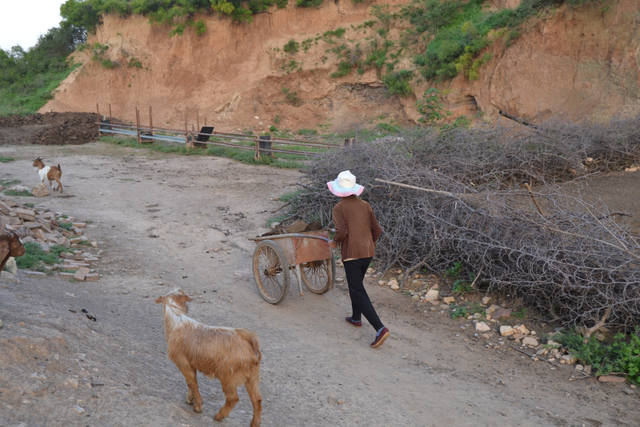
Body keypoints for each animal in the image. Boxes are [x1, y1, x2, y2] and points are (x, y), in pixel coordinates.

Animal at [155, 290, 262, 426]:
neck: (177, 321)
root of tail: (252, 344)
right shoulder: (190, 363)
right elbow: (190, 381)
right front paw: (190, 398)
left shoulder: (183, 362)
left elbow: (193, 382)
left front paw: (198, 406)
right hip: (252, 376)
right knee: (257, 399)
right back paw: (255, 422)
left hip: (229, 376)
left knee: (233, 398)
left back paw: (219, 416)